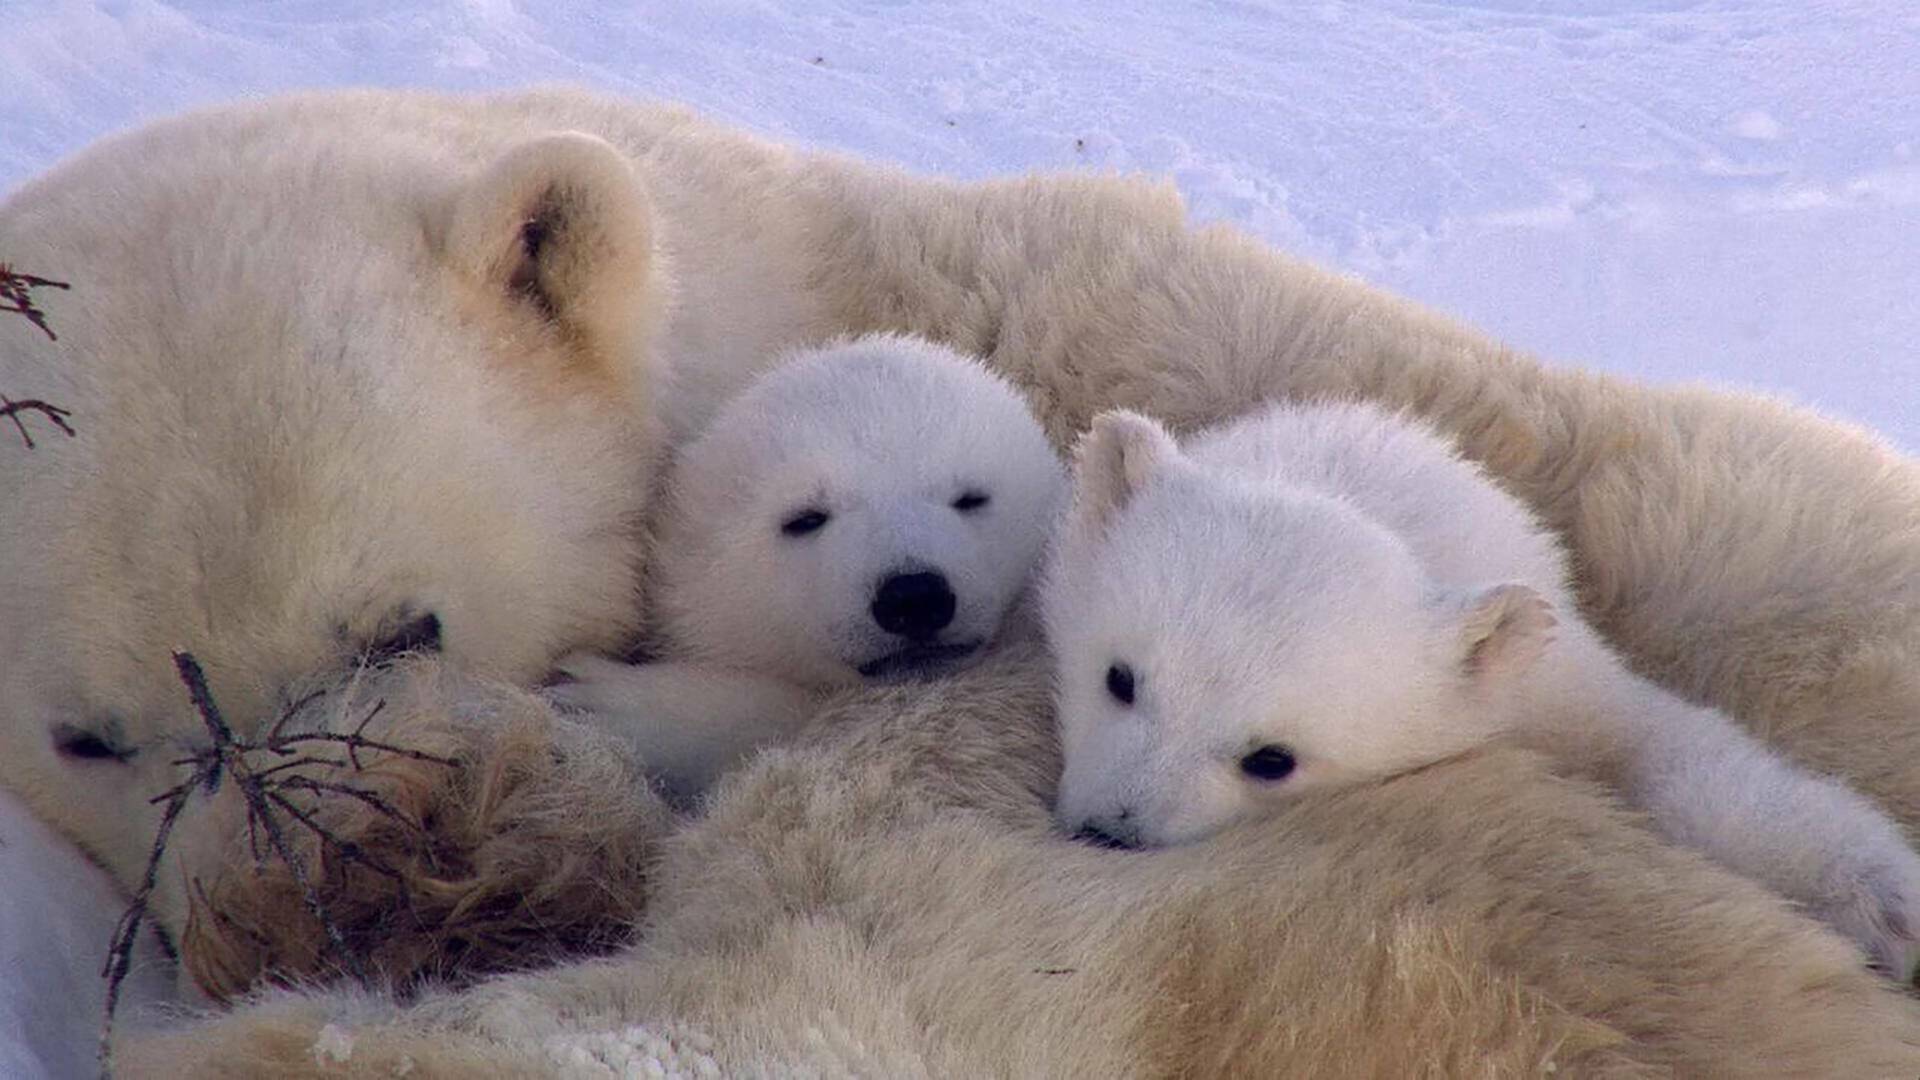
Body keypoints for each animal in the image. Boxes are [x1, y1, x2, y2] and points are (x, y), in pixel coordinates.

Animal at [1046, 401, 1920, 977]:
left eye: (1272, 759)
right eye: (1120, 677)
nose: (1110, 830)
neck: (1359, 492)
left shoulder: (1546, 682)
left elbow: (1669, 747)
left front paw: (1885, 903)